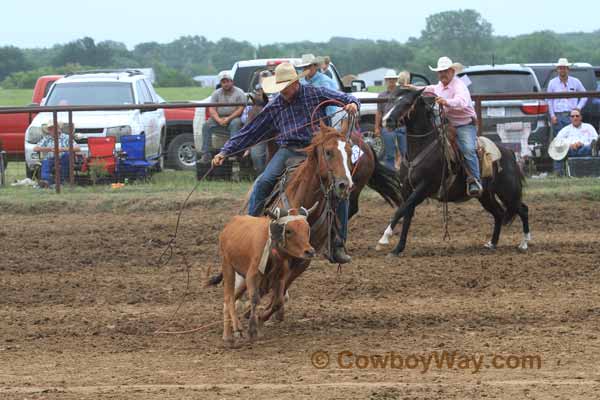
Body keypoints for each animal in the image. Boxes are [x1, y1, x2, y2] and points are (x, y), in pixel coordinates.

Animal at [216, 205, 318, 346]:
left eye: (307, 229)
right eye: (289, 231)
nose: (310, 251)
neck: (273, 252)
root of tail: (229, 226)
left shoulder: (280, 278)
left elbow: (278, 302)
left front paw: (260, 319)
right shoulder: (252, 276)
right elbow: (254, 299)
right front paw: (252, 330)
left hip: (242, 279)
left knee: (232, 298)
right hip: (228, 266)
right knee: (229, 298)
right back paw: (232, 331)